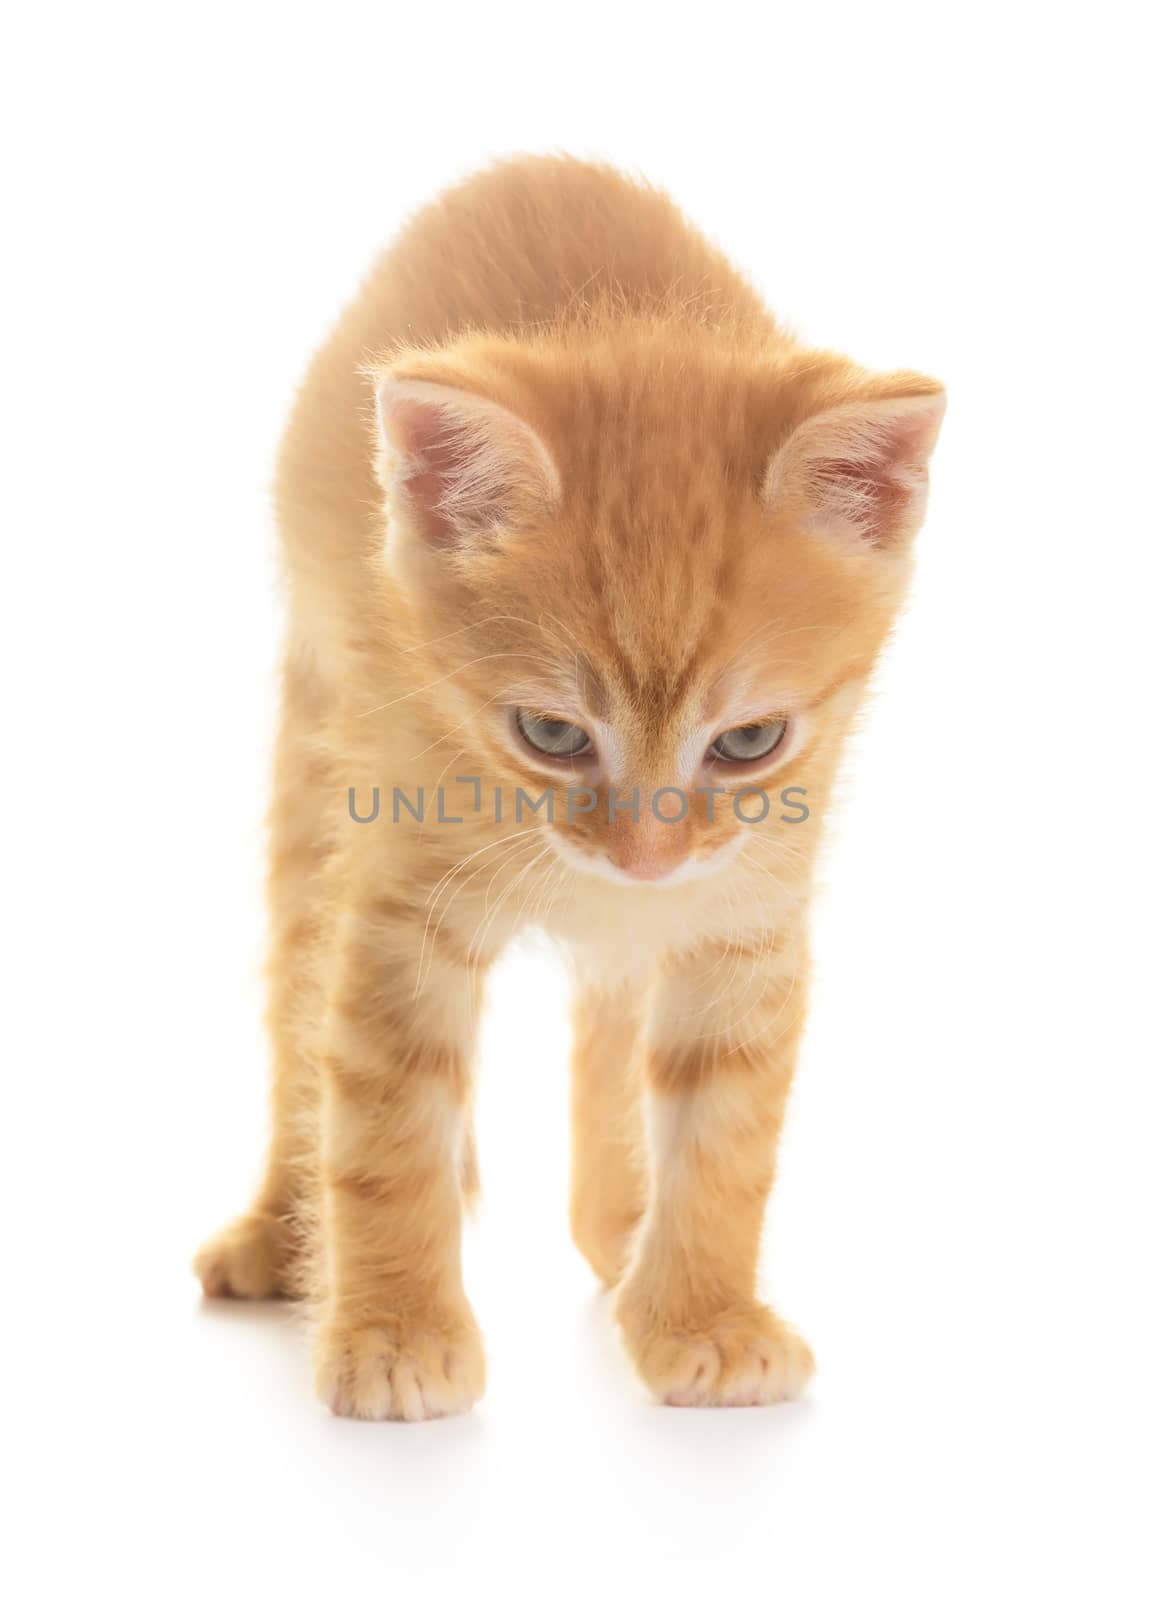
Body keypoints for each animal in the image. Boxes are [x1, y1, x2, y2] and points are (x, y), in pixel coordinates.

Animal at [195, 156, 946, 1420]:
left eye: (749, 742)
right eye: (549, 732)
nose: (642, 854)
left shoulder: (744, 906)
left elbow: (723, 1124)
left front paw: (700, 1318)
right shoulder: (397, 899)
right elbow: (385, 1117)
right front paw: (394, 1333)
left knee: (611, 1011)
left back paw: (621, 1236)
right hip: (312, 747)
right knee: (297, 1003)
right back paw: (278, 1236)